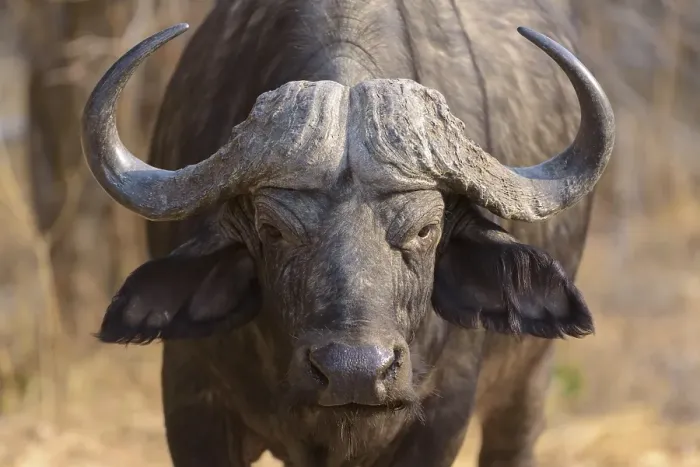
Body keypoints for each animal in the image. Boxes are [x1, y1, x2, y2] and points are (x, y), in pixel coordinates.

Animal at [80, 1, 614, 466]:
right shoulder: (191, 400)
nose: (354, 371)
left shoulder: (443, 416)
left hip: (528, 387)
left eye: (427, 229)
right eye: (273, 230)